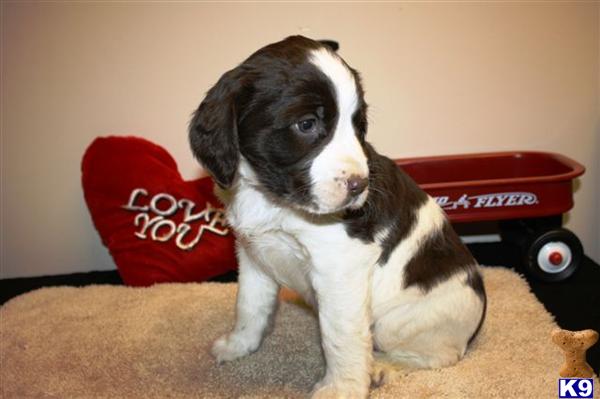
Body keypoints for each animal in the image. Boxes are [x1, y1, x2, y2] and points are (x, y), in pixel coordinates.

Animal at [190, 36, 486, 398]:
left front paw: (341, 388)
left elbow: (340, 337)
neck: (272, 199)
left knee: (443, 355)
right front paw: (239, 345)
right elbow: (248, 305)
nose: (360, 186)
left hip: (400, 322)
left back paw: (385, 367)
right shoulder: (253, 254)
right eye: (306, 124)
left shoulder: (340, 268)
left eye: (359, 126)